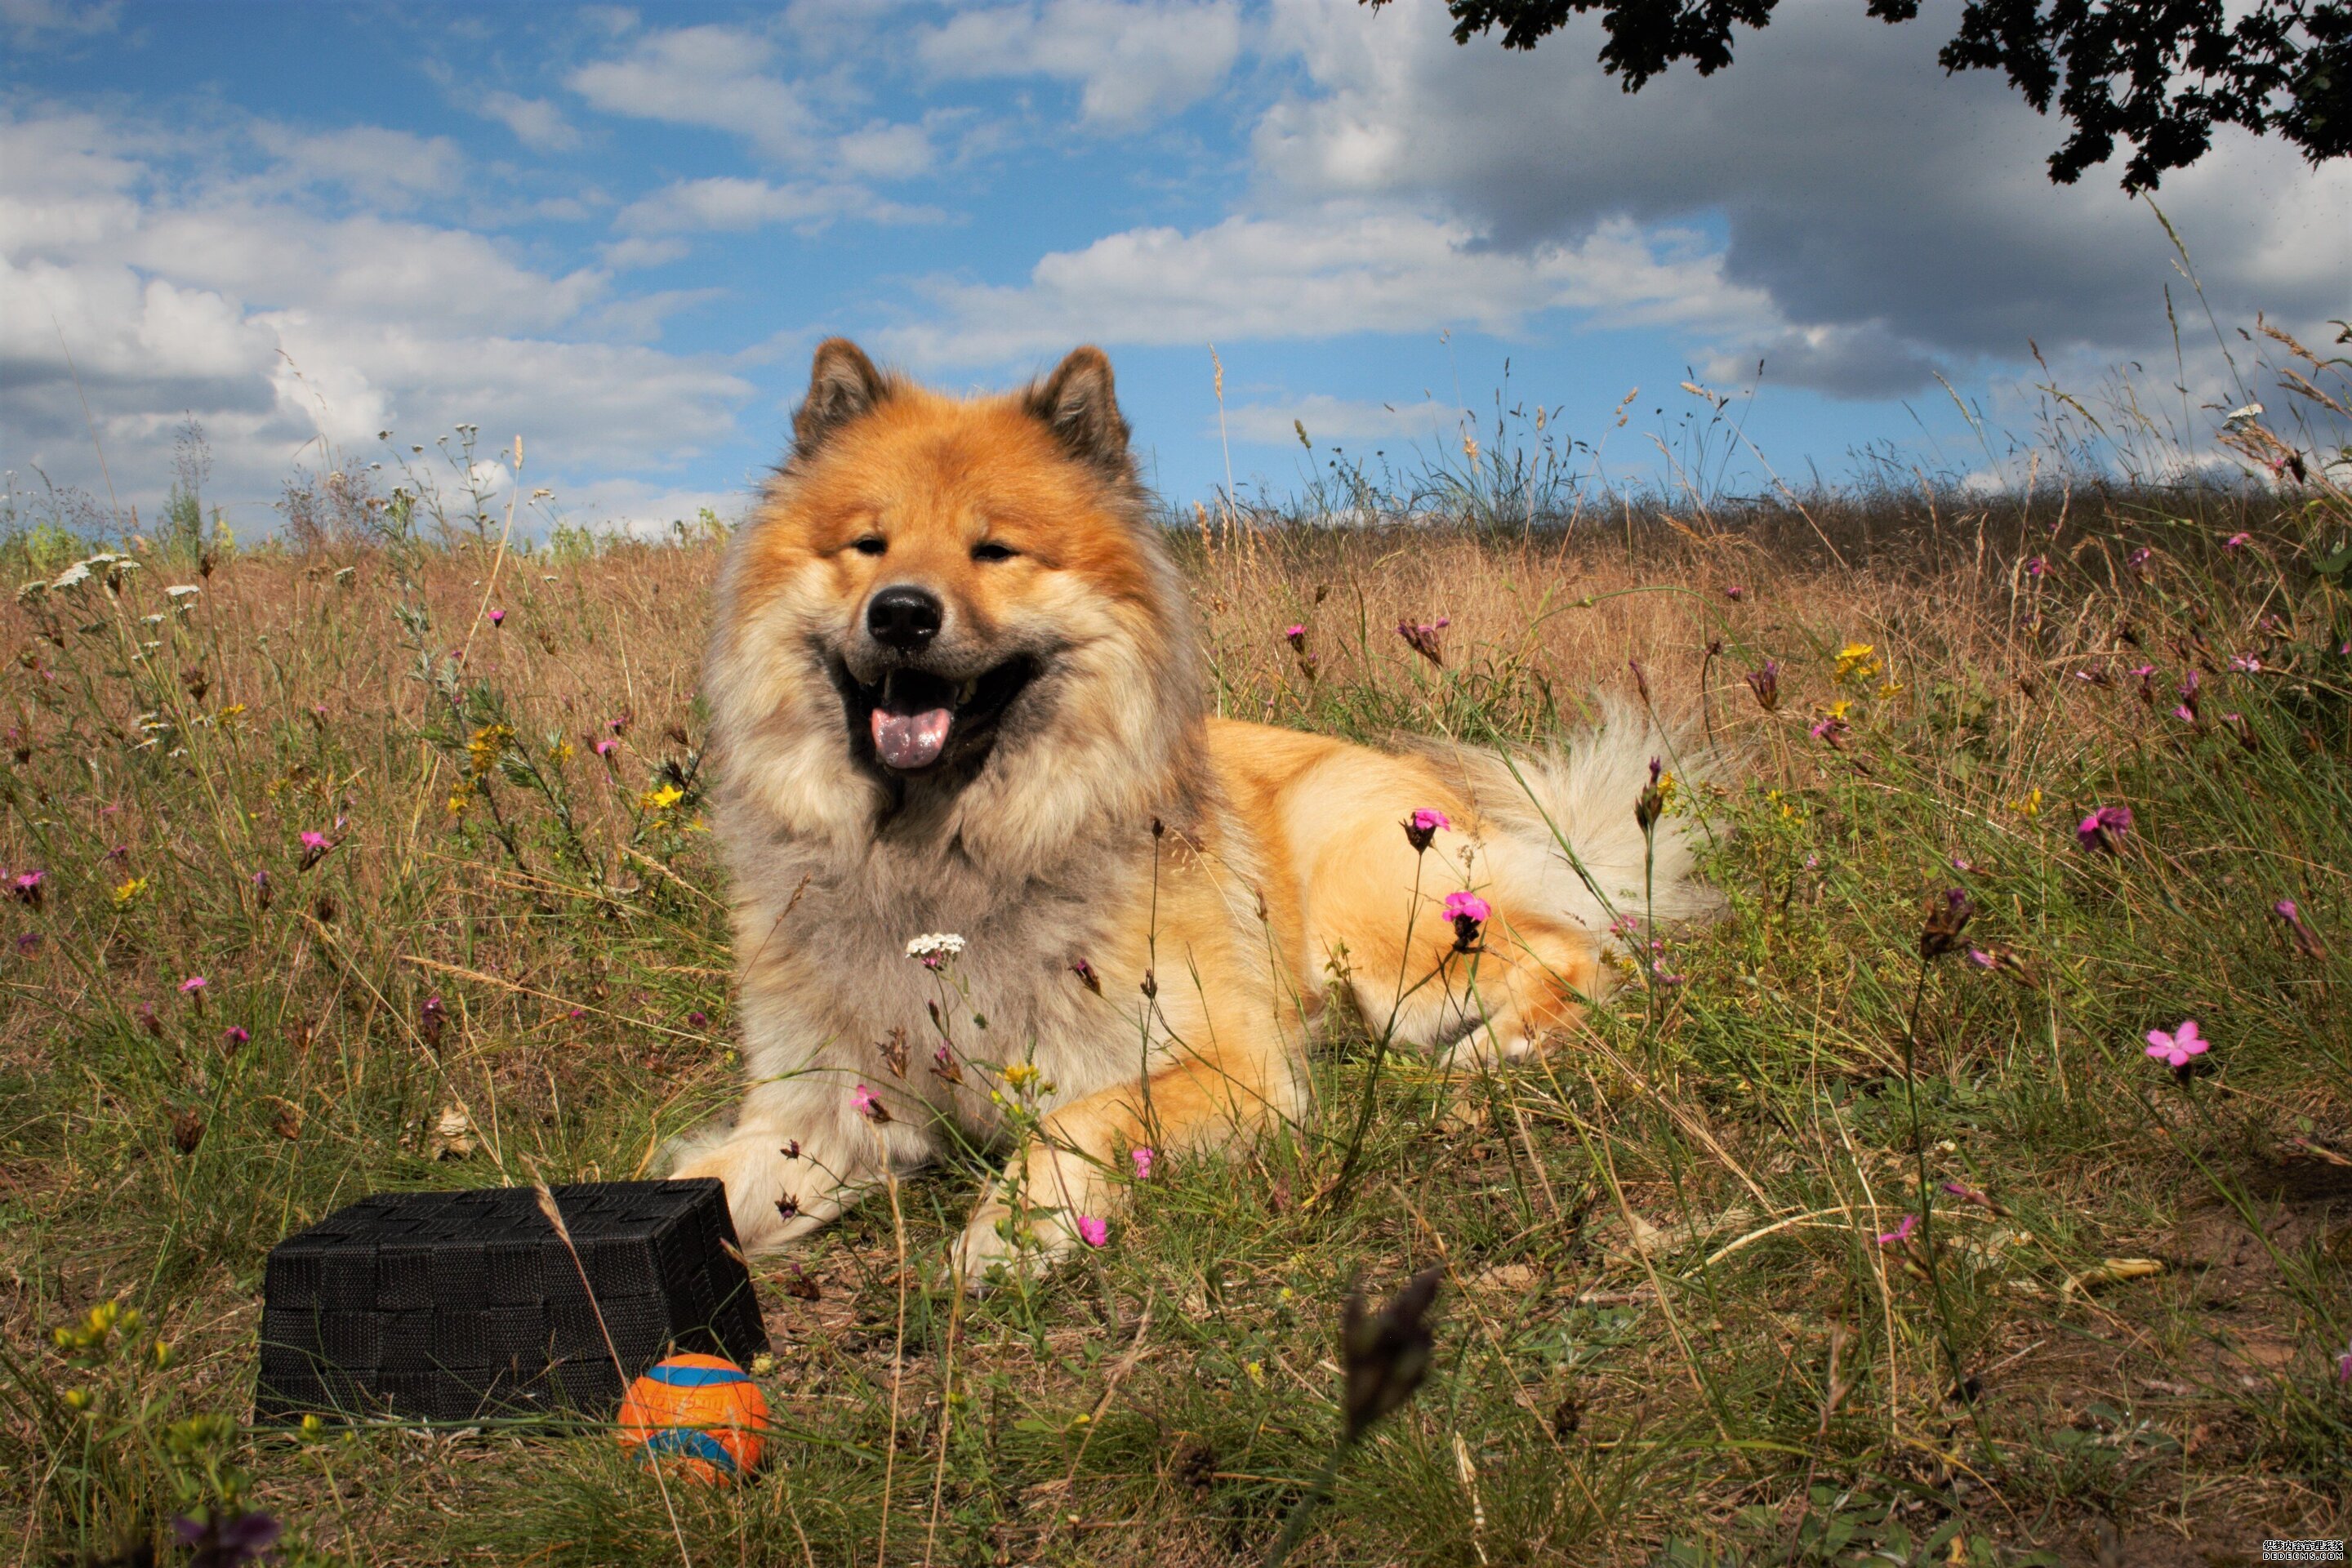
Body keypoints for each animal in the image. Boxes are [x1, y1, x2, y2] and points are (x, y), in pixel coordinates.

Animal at [667, 338, 1712, 1278]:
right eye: (867, 545)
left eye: (995, 551)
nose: (901, 613)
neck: (942, 861)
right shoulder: (818, 1115)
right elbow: (703, 1186)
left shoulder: (1229, 1065)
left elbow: (1082, 1113)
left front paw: (1020, 1225)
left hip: (1380, 923)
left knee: (1577, 952)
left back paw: (1486, 1053)